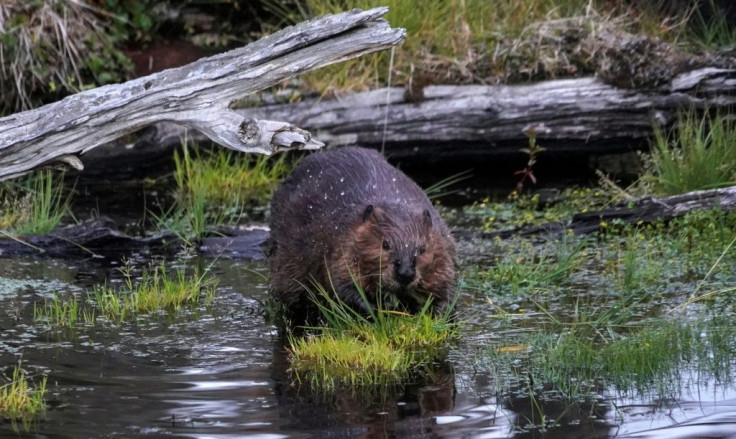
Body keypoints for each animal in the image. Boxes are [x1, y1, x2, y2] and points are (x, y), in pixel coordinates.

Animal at [268, 146, 458, 322]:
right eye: (385, 244)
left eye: (423, 249)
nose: (405, 273)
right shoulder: (341, 244)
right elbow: (341, 287)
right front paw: (381, 309)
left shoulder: (442, 245)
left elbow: (447, 289)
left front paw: (435, 313)